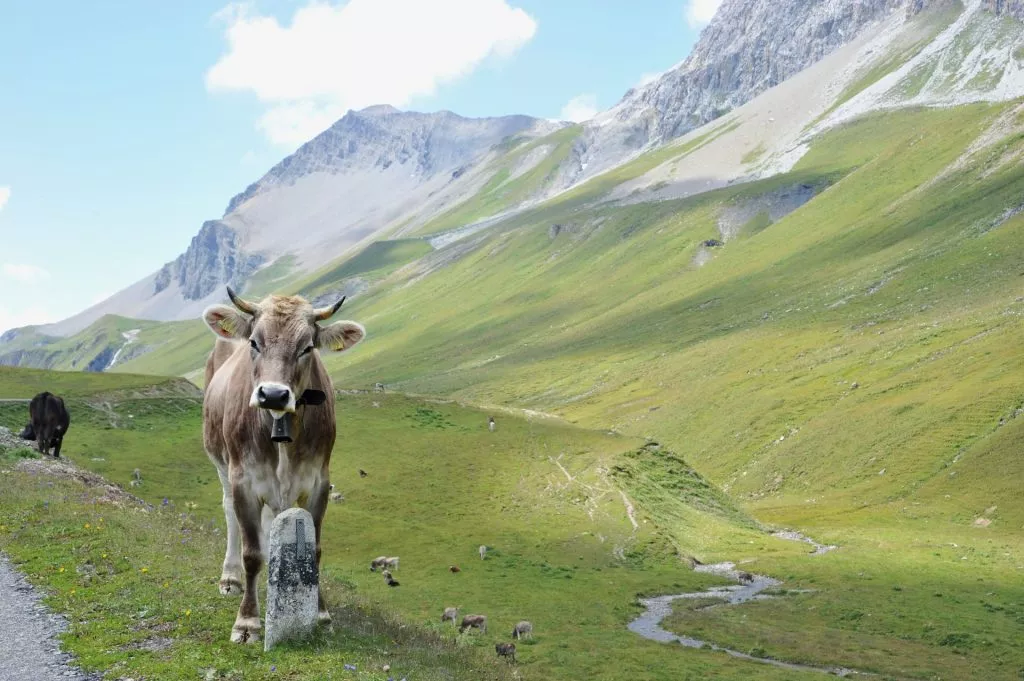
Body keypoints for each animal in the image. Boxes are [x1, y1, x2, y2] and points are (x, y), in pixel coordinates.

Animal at [201, 284, 366, 643]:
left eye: (307, 347)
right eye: (254, 342)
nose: (274, 394)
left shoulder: (318, 481)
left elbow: (314, 550)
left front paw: (320, 613)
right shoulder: (244, 481)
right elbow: (251, 553)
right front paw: (247, 622)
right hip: (220, 463)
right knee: (230, 514)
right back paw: (230, 578)